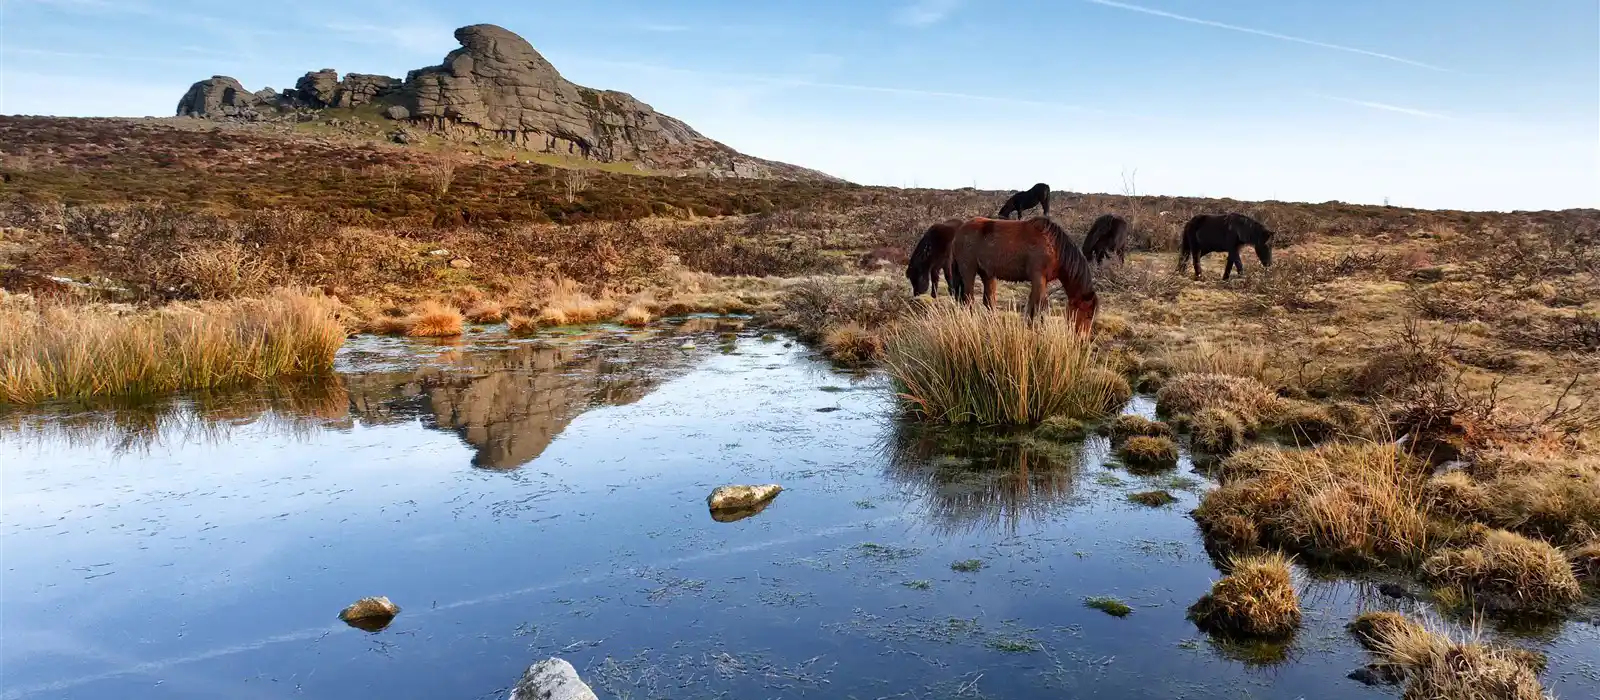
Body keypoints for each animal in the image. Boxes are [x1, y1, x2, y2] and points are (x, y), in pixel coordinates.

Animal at [947, 214, 1100, 335]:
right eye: (1088, 314)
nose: (1082, 340)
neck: (1054, 246)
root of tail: (959, 232)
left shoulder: (1041, 281)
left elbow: (1033, 305)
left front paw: (1030, 327)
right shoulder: (1038, 278)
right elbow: (1040, 306)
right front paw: (1039, 330)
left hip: (987, 274)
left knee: (989, 301)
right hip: (968, 272)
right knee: (968, 299)